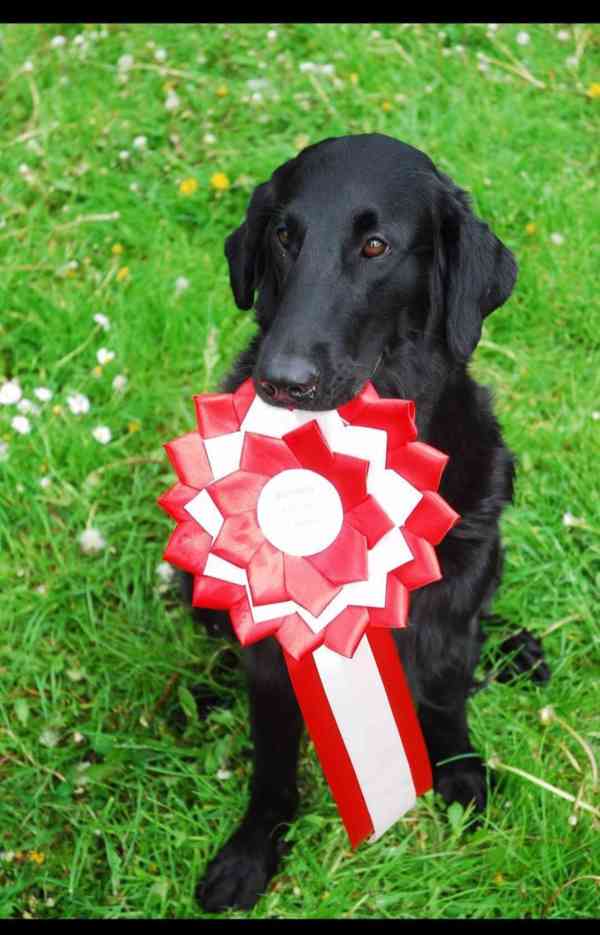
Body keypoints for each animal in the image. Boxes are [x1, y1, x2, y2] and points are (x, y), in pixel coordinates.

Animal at [182, 135, 548, 912]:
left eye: (376, 246)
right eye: (283, 235)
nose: (282, 380)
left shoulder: (450, 594)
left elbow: (444, 687)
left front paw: (460, 771)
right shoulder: (272, 638)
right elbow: (272, 758)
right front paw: (252, 849)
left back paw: (516, 650)